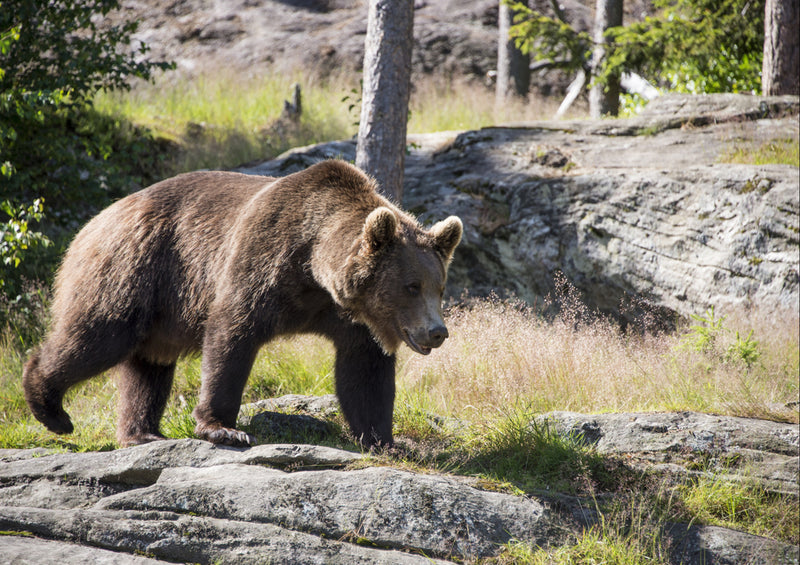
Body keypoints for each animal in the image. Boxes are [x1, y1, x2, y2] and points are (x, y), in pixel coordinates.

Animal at [23, 161, 462, 448]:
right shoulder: (261, 261)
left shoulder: (350, 318)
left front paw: (384, 440)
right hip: (134, 269)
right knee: (98, 336)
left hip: (158, 309)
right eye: (411, 286)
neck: (313, 268)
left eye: (439, 287)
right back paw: (51, 408)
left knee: (148, 366)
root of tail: (97, 218)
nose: (437, 332)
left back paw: (142, 432)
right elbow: (232, 335)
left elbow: (364, 372)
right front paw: (223, 427)